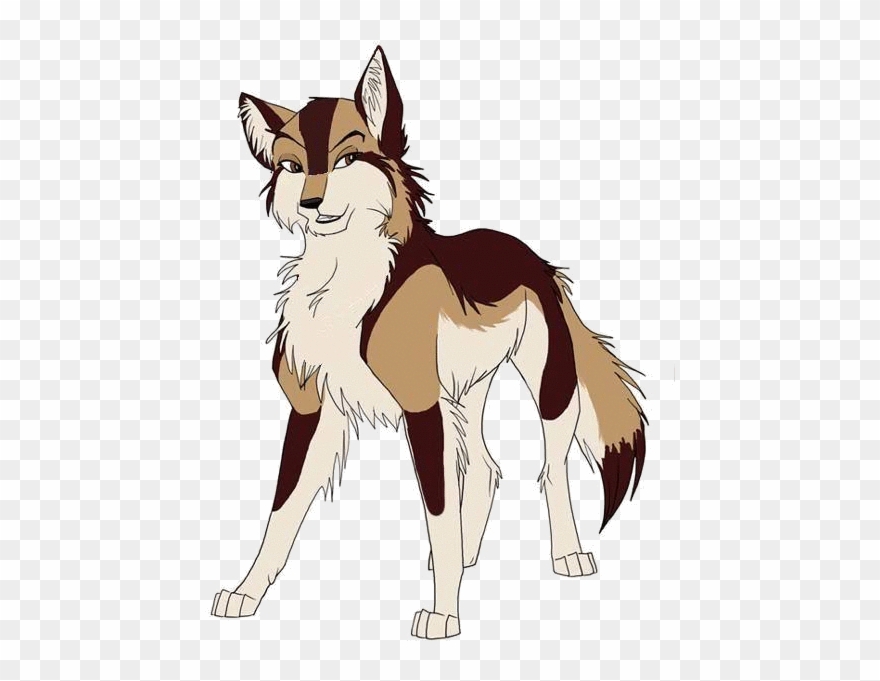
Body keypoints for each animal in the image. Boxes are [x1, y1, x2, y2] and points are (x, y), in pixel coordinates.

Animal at [212, 46, 646, 639]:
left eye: (347, 159)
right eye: (293, 167)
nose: (310, 202)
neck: (346, 284)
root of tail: (531, 255)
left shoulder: (420, 407)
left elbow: (438, 513)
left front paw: (443, 613)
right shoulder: (313, 407)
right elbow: (281, 513)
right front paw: (246, 594)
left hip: (548, 393)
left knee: (550, 472)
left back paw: (567, 555)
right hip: (463, 399)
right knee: (488, 468)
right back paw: (468, 556)